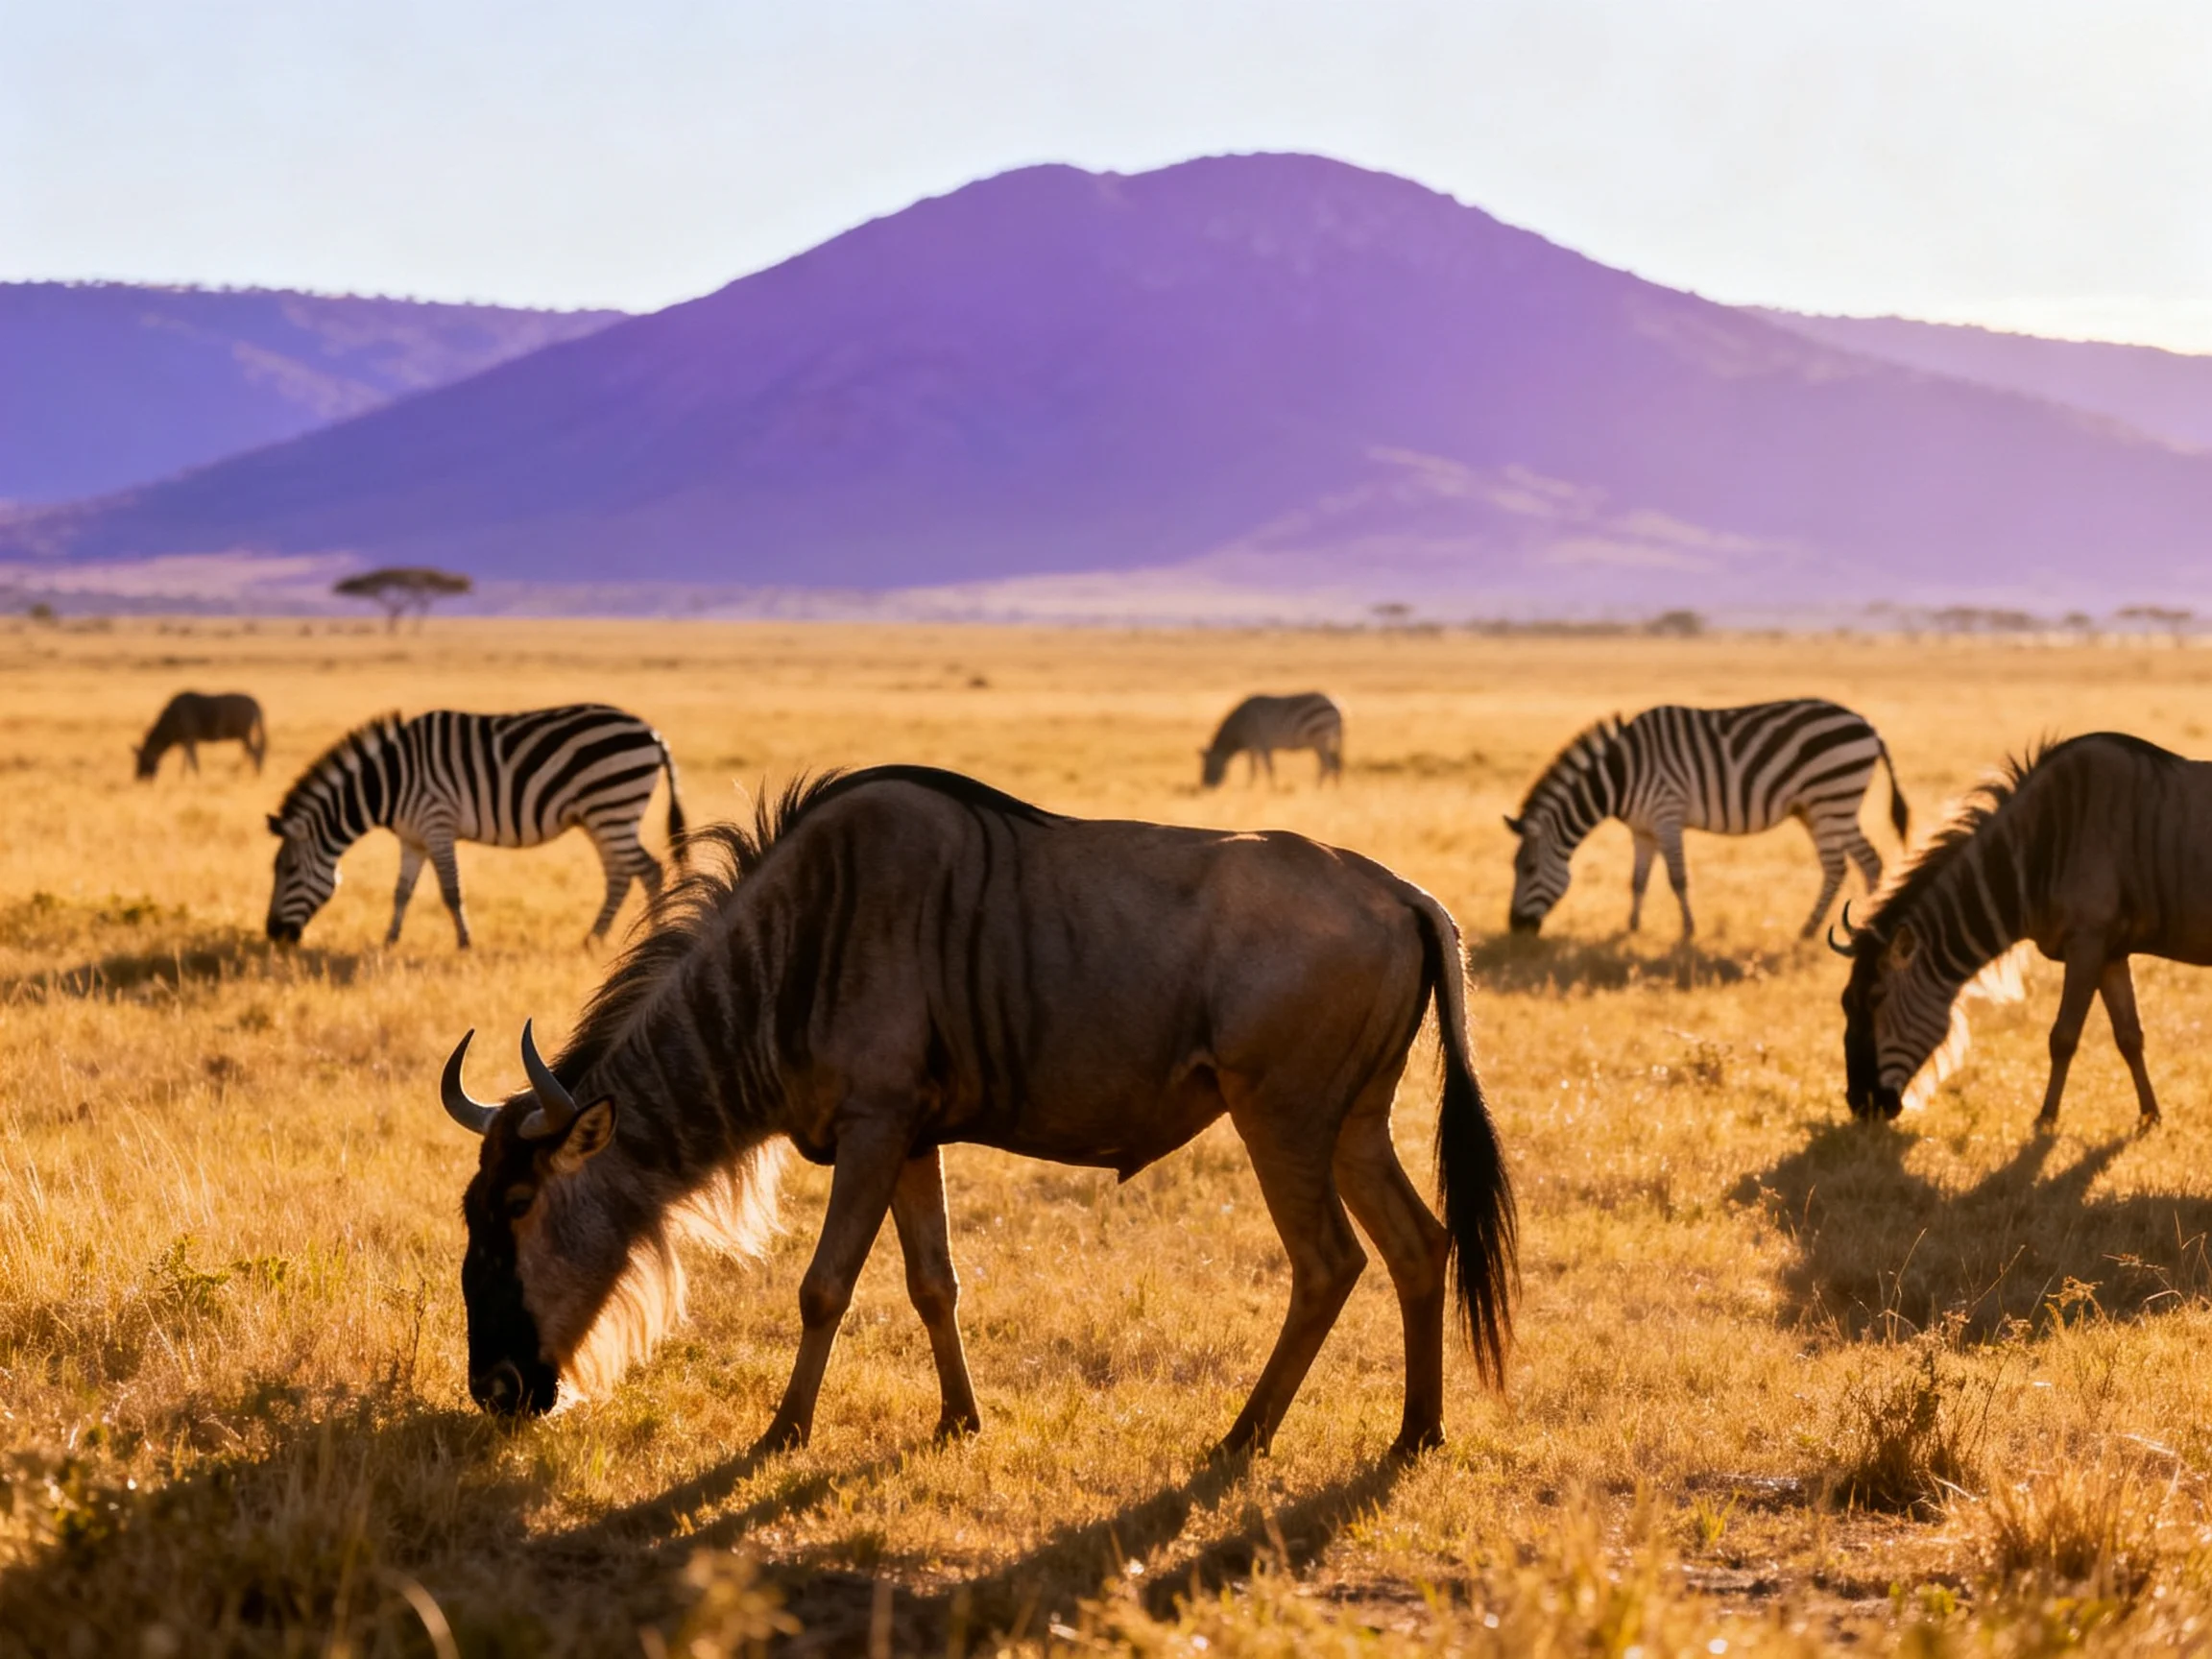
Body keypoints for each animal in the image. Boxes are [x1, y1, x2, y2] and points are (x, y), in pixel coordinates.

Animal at [265, 704, 685, 949]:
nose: (273, 935)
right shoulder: (413, 838)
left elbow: (451, 890)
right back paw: (592, 939)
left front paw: (464, 943)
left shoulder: (436, 824)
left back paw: (654, 935)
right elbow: (402, 892)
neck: (390, 782)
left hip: (611, 807)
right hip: (599, 816)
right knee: (620, 875)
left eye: (288, 870)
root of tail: (653, 734)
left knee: (649, 869)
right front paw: (389, 941)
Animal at [1200, 692, 1344, 787]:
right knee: (1330, 764)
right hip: (1320, 742)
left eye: (1209, 765)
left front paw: (1271, 790)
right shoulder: (1254, 748)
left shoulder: (1262, 744)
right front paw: (1251, 788)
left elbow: (1267, 768)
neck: (1241, 724)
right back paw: (1325, 789)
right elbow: (1256, 769)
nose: (1206, 785)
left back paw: (1324, 790)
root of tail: (1334, 706)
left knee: (1329, 764)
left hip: (1320, 739)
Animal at [1505, 699, 1909, 940]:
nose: (1516, 928)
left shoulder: (1666, 814)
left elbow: (1677, 878)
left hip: (1831, 799)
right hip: (1824, 807)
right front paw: (1631, 928)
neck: (1619, 777)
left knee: (1838, 866)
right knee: (1868, 860)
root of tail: (1868, 725)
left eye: (1528, 869)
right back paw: (1865, 923)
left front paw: (1687, 931)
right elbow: (1637, 880)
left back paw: (1808, 930)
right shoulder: (1642, 829)